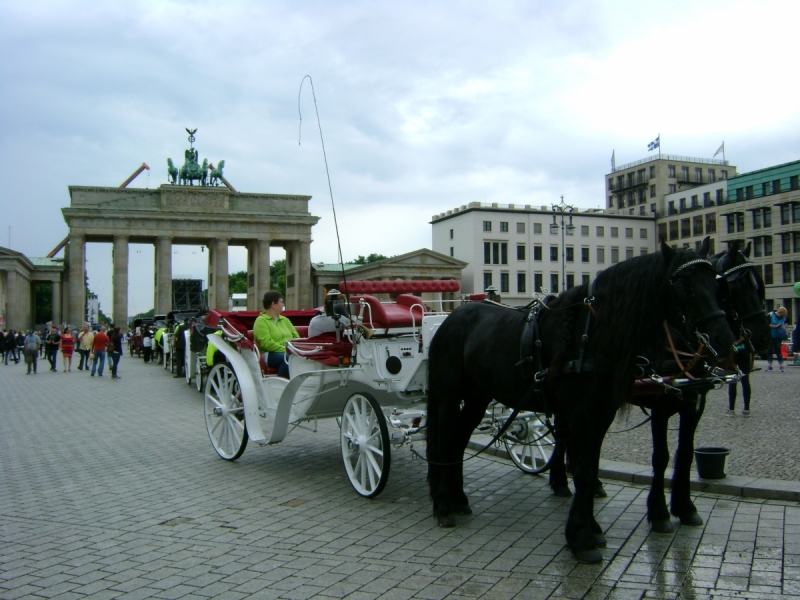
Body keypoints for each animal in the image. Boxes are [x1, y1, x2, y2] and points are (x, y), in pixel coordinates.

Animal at [428, 241, 736, 564]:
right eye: (684, 285)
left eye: (717, 285)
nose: (725, 340)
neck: (590, 333)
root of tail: (451, 317)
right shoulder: (586, 414)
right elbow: (585, 470)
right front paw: (582, 538)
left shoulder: (603, 412)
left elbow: (592, 465)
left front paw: (591, 529)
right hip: (448, 396)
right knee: (445, 443)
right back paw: (444, 505)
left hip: (478, 396)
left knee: (459, 441)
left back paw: (458, 499)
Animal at [548, 237, 772, 532]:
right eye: (734, 286)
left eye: (717, 287)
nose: (764, 337)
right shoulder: (661, 404)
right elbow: (661, 457)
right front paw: (659, 512)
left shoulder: (693, 404)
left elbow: (685, 454)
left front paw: (685, 508)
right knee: (563, 433)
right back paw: (559, 480)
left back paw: (591, 484)